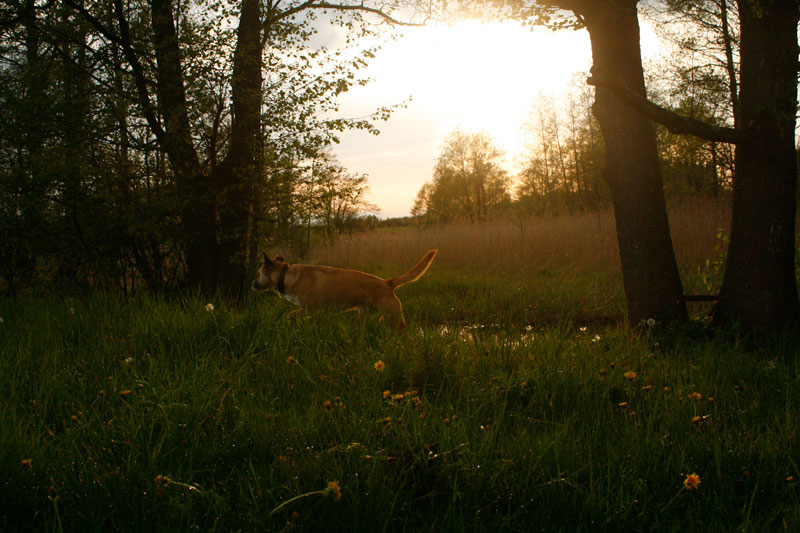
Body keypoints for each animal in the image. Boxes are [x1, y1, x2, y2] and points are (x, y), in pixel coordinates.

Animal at [250, 249, 438, 328]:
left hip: (395, 319)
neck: (287, 275)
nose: (251, 283)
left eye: (258, 273)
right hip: (365, 316)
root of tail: (387, 282)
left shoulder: (310, 308)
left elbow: (290, 315)